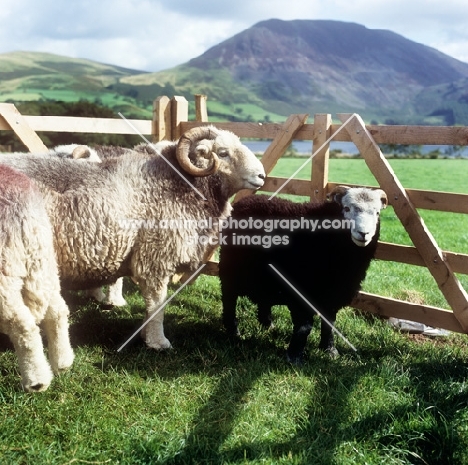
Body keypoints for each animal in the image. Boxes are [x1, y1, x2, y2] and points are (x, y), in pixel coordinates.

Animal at [219, 186, 388, 362]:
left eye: (377, 213)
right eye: (346, 209)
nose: (364, 233)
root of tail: (245, 201)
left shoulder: (333, 293)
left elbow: (329, 323)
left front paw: (329, 349)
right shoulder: (300, 291)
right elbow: (305, 326)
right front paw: (294, 356)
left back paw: (267, 324)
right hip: (230, 270)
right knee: (229, 299)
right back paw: (233, 331)